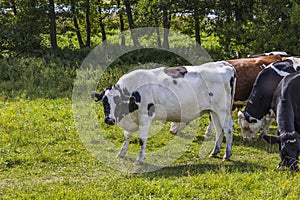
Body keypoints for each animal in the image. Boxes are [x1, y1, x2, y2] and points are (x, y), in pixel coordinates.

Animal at [92, 62, 236, 164]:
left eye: (118, 101)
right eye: (104, 101)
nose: (109, 120)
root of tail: (224, 64)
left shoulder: (145, 117)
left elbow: (141, 139)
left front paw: (139, 159)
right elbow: (127, 136)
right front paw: (121, 153)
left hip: (223, 110)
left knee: (228, 128)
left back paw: (227, 154)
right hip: (214, 111)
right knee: (219, 129)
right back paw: (215, 152)